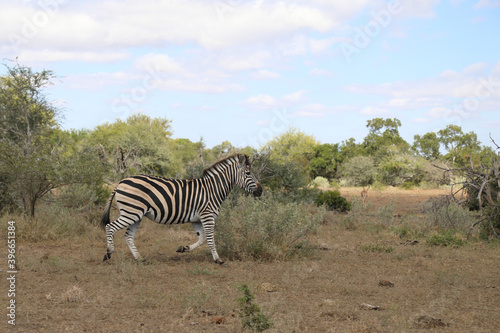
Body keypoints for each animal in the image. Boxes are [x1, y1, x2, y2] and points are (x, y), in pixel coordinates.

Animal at [100, 153, 264, 264]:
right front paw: (218, 259)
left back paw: (139, 258)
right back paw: (108, 253)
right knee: (110, 227)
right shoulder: (207, 216)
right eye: (248, 173)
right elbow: (210, 239)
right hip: (131, 212)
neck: (213, 190)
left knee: (128, 236)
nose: (261, 191)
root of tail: (120, 182)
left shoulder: (197, 219)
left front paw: (183, 249)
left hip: (136, 215)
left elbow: (202, 239)